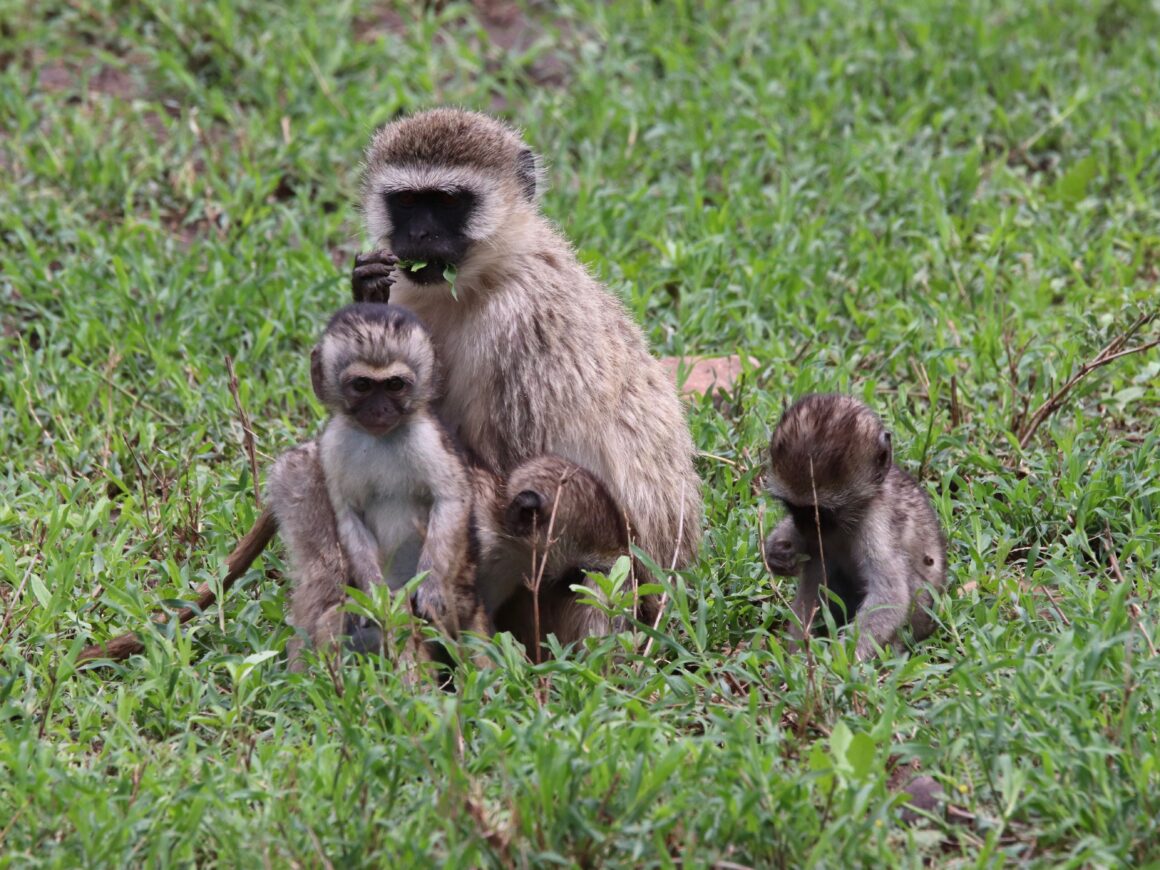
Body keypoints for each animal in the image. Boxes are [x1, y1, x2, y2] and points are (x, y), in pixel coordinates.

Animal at [268, 303, 490, 668]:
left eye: (395, 385)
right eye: (362, 385)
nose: (379, 409)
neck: (381, 439)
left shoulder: (426, 438)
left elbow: (450, 499)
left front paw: (430, 586)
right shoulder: (334, 445)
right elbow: (348, 516)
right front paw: (374, 597)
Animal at [762, 394, 948, 660]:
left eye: (821, 513)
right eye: (794, 508)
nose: (806, 529)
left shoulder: (876, 525)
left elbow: (890, 596)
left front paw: (837, 661)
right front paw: (778, 551)